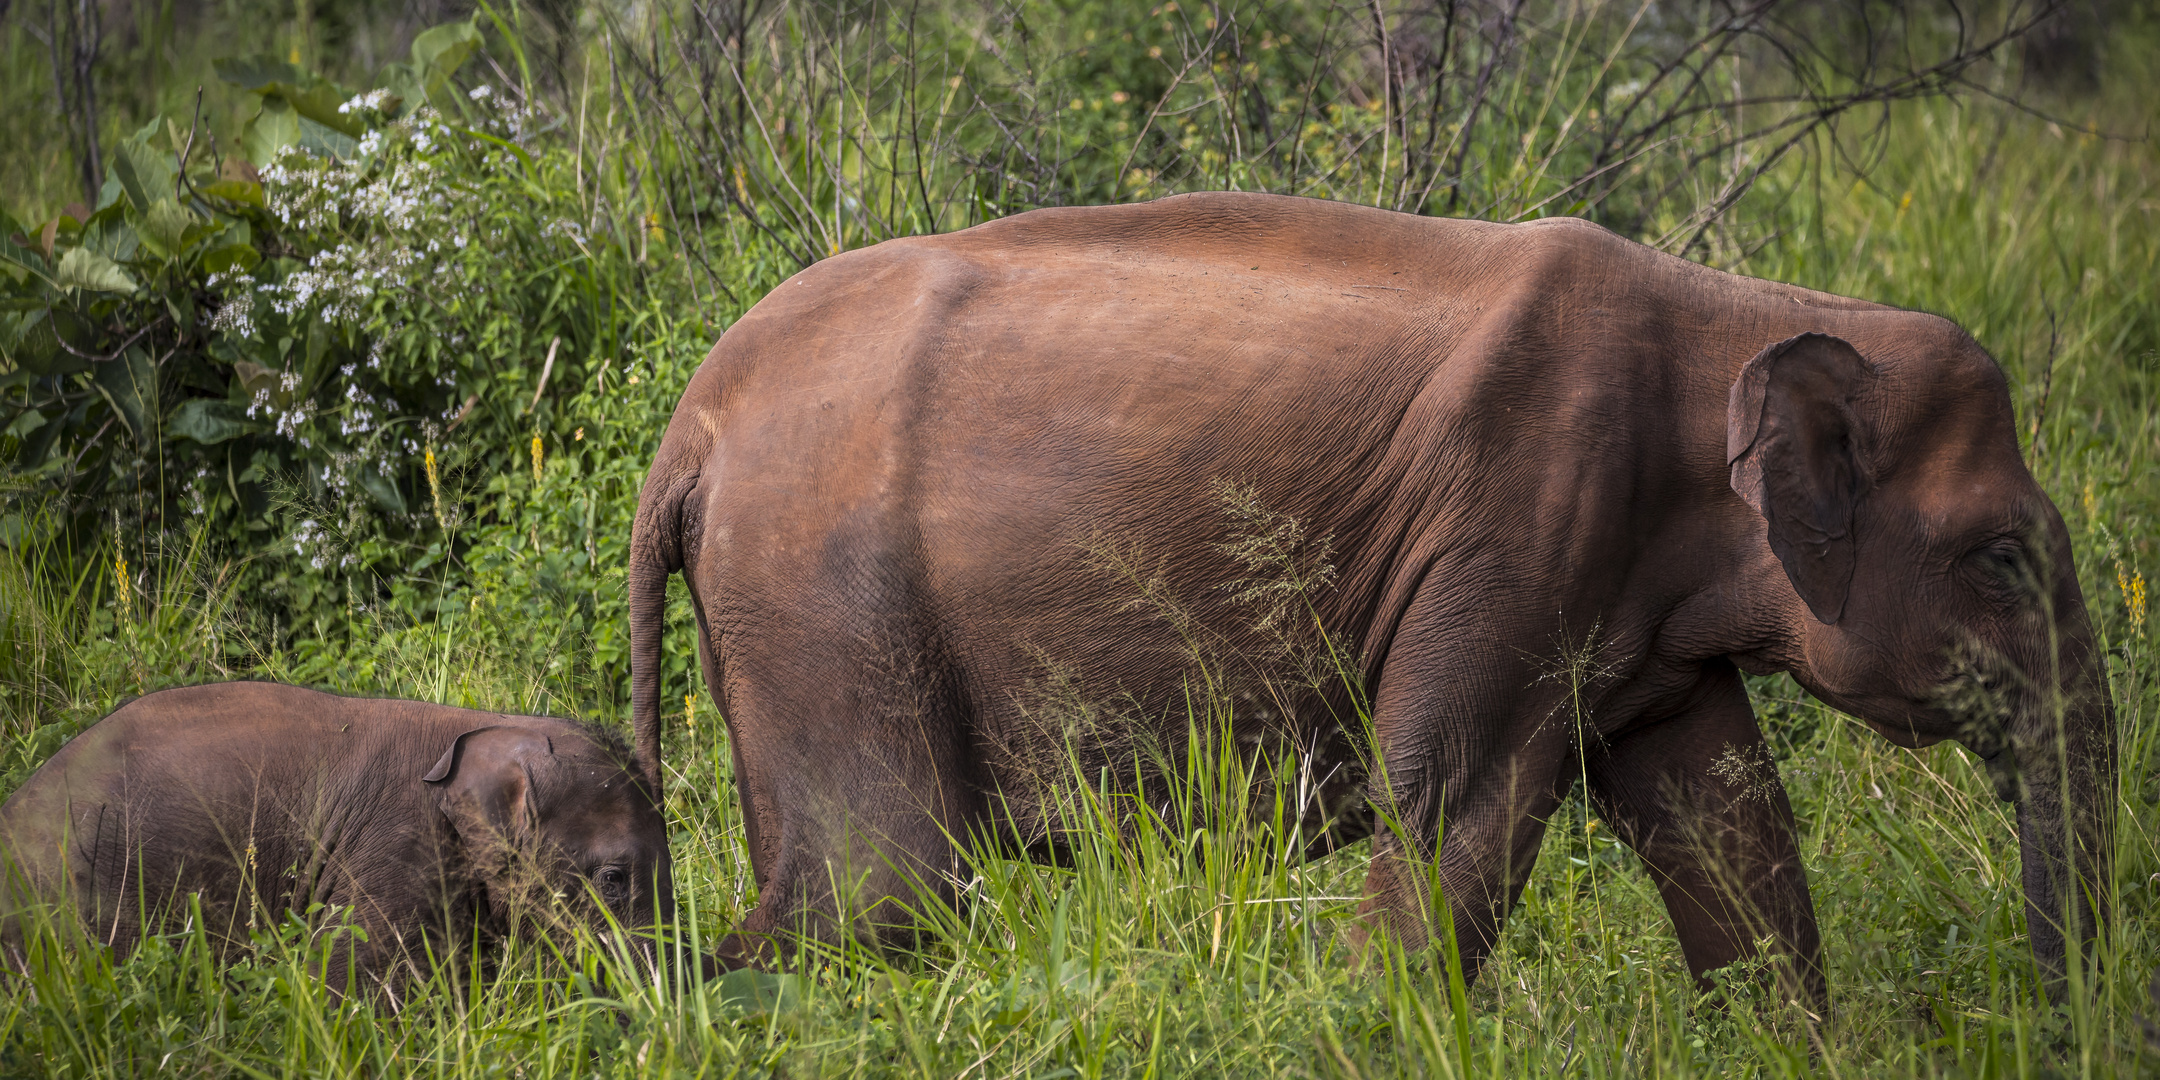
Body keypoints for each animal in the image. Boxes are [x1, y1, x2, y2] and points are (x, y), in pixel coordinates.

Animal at [626, 190, 2108, 997]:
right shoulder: (1522, 534)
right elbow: (1455, 825)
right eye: (2003, 557)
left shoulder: (1630, 603)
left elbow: (1725, 827)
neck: (1736, 314)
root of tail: (689, 427)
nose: (2055, 1015)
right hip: (826, 599)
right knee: (877, 895)